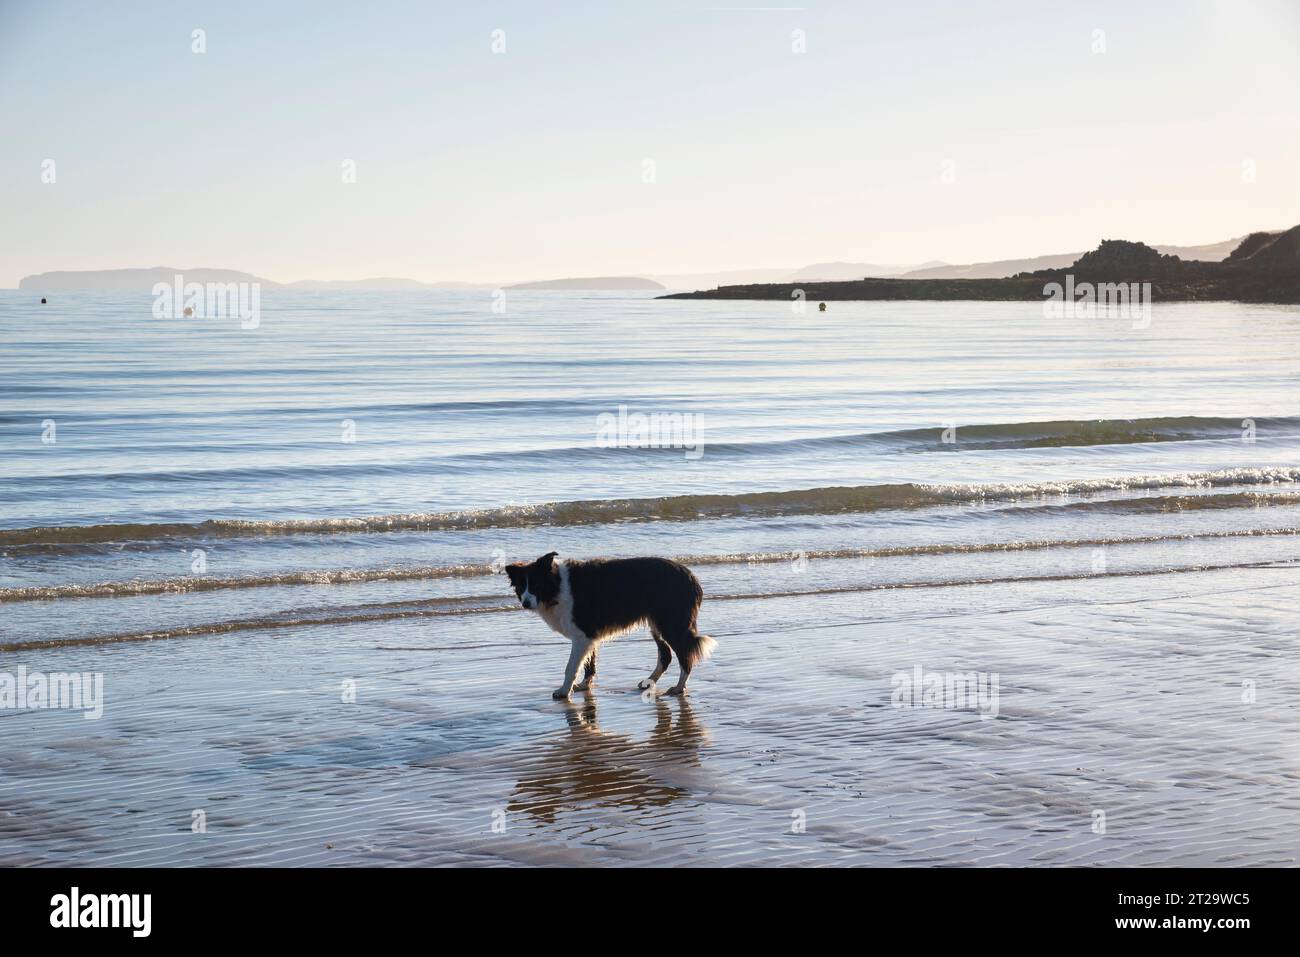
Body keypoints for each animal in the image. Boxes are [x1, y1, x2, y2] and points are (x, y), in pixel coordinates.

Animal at [504, 548, 717, 696]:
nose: (525, 603)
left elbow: (571, 667)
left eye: (536, 585)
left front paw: (564, 691)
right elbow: (589, 663)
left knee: (685, 654)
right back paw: (650, 681)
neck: (556, 587)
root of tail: (691, 577)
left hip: (671, 623)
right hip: (657, 623)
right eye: (521, 586)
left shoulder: (582, 633)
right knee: (666, 656)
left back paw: (679, 687)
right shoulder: (589, 635)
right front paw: (584, 685)